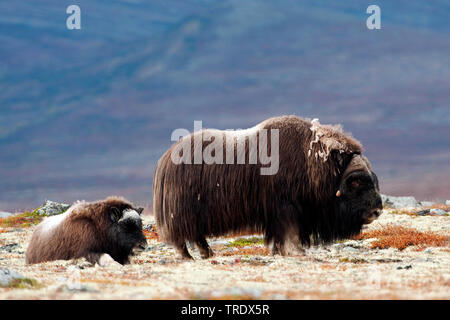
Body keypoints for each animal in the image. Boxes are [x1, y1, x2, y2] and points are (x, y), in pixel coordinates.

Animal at [153, 114, 382, 258]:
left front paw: (281, 251)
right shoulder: (286, 208)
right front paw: (293, 251)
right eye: (356, 181)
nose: (377, 211)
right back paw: (191, 256)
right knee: (183, 237)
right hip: (184, 213)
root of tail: (166, 158)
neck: (311, 161)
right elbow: (288, 233)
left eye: (373, 179)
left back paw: (207, 254)